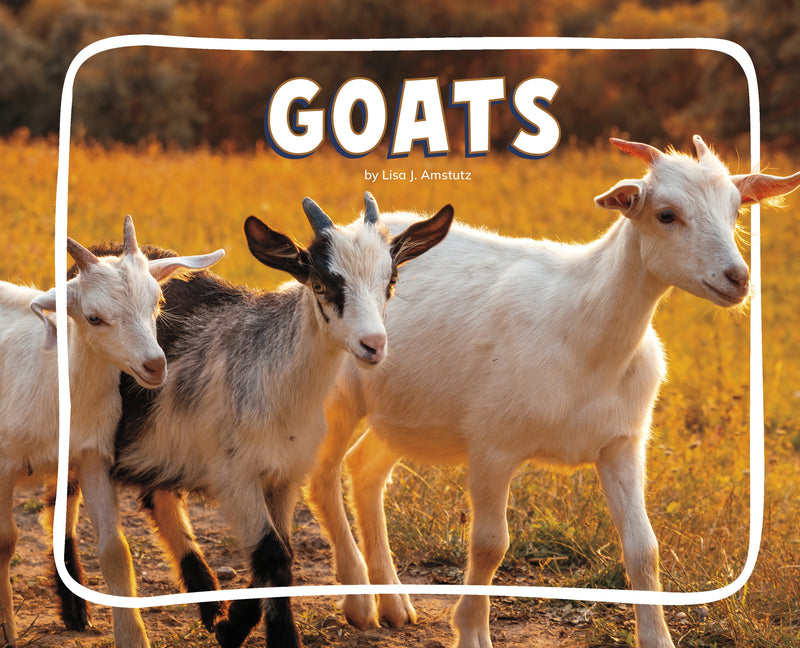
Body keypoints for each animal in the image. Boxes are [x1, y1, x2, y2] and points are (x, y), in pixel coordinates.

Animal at [0, 215, 223, 648]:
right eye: (94, 317)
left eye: (157, 302)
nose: (155, 365)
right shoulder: (2, 465)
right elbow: (4, 542)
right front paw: (5, 630)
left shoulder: (93, 458)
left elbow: (116, 551)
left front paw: (133, 636)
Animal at [100, 193, 453, 648]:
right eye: (321, 283)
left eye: (390, 281)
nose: (373, 345)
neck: (276, 377)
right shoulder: (235, 476)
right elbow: (272, 555)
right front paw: (277, 636)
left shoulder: (284, 475)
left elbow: (280, 550)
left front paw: (231, 626)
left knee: (159, 498)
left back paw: (209, 602)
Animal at [307, 136, 800, 648]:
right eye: (666, 214)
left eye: (736, 210)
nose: (737, 278)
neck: (583, 333)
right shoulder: (492, 446)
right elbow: (489, 545)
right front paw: (471, 630)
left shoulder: (621, 443)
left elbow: (644, 548)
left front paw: (657, 637)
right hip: (335, 398)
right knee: (322, 477)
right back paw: (359, 602)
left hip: (405, 415)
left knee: (364, 470)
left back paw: (393, 603)